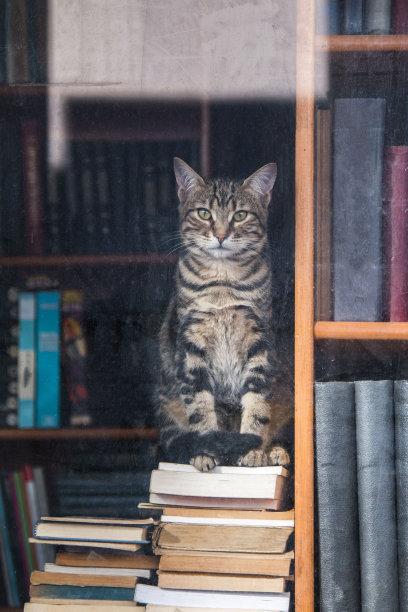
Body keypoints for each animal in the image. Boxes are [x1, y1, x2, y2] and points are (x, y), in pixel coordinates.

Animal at [156, 158, 293, 471]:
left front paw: (252, 450)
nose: (220, 235)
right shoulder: (192, 345)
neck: (223, 282)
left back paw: (275, 451)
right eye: (204, 213)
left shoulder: (259, 341)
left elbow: (257, 402)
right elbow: (200, 407)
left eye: (240, 215)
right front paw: (206, 451)